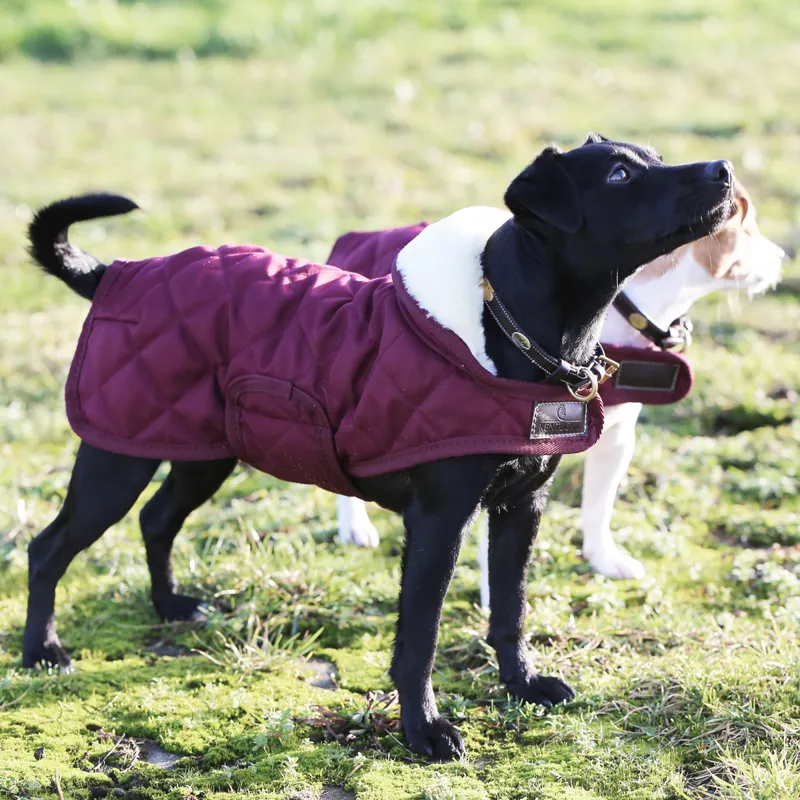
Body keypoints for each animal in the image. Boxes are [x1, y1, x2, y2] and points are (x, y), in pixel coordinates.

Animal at [21, 134, 736, 760]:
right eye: (618, 175)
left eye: (656, 158)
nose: (725, 169)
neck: (509, 331)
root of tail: (116, 273)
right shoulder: (440, 522)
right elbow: (418, 640)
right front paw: (424, 732)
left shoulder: (520, 509)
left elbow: (510, 611)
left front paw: (523, 685)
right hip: (119, 458)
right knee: (50, 547)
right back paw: (42, 652)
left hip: (203, 449)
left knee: (157, 518)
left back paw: (169, 606)